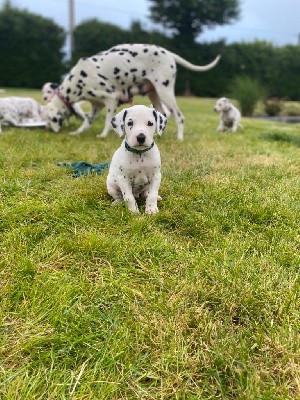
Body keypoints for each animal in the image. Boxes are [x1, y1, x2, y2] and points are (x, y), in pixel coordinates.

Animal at [45, 43, 220, 141]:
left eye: (50, 120)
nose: (49, 131)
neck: (78, 80)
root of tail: (168, 53)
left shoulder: (111, 99)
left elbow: (108, 121)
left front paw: (103, 135)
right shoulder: (96, 106)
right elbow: (87, 122)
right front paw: (77, 132)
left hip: (165, 91)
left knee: (179, 117)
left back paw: (180, 138)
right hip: (154, 94)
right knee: (162, 115)